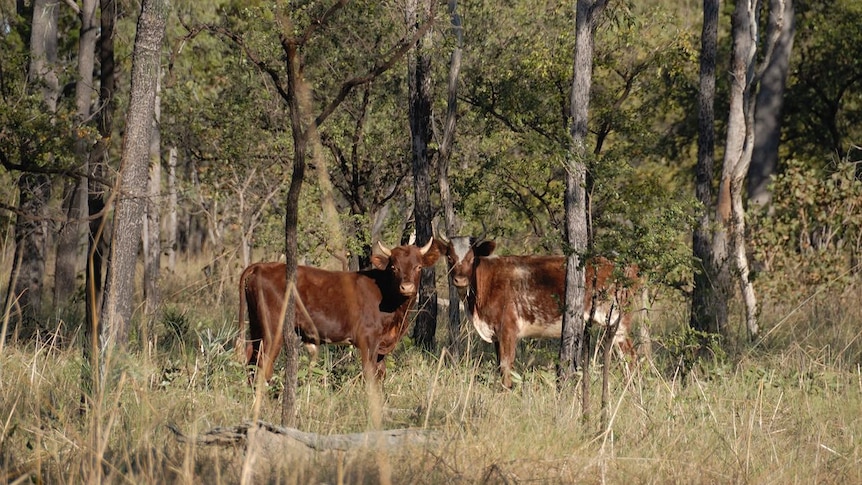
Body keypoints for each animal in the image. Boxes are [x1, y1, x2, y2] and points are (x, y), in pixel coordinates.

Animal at [235, 237, 438, 382]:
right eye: (394, 267)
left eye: (419, 266)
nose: (407, 287)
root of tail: (262, 266)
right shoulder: (368, 340)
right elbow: (370, 375)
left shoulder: (382, 346)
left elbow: (380, 375)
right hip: (272, 331)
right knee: (263, 366)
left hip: (256, 325)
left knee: (251, 360)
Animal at [442, 236, 636, 388]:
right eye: (449, 257)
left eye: (472, 258)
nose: (460, 280)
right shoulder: (496, 334)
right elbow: (499, 365)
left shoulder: (508, 330)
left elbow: (506, 366)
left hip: (618, 321)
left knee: (630, 358)